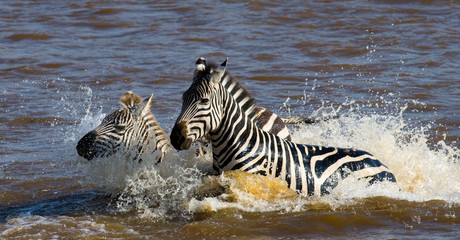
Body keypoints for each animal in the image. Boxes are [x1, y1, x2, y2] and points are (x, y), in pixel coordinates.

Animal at [171, 58, 398, 197]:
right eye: (183, 98)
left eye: (204, 101)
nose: (175, 138)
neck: (242, 145)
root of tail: (379, 162)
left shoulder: (253, 181)